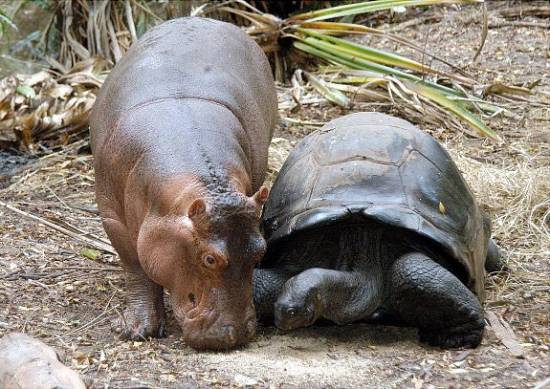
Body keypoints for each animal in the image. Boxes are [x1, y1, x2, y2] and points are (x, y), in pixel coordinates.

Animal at [92, 18, 280, 350]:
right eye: (210, 259)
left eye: (260, 250)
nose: (235, 334)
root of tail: (203, 19)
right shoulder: (112, 218)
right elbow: (136, 268)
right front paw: (137, 330)